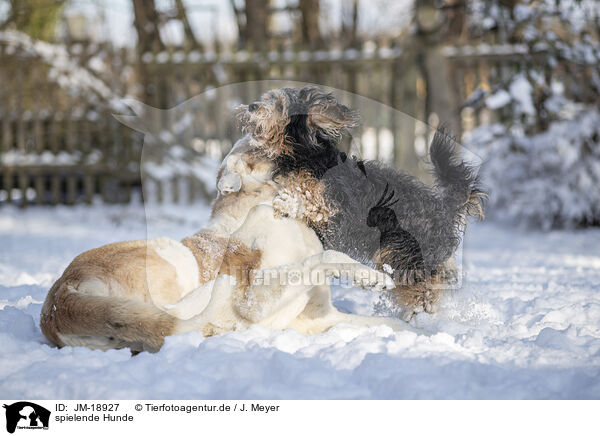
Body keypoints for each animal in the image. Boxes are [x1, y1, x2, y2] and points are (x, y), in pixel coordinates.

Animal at [237, 87, 486, 318]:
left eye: (279, 106)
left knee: (421, 288)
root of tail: (444, 206)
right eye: (266, 99)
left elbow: (308, 201)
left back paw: (418, 314)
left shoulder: (332, 207)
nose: (251, 106)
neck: (303, 155)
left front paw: (287, 203)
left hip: (402, 251)